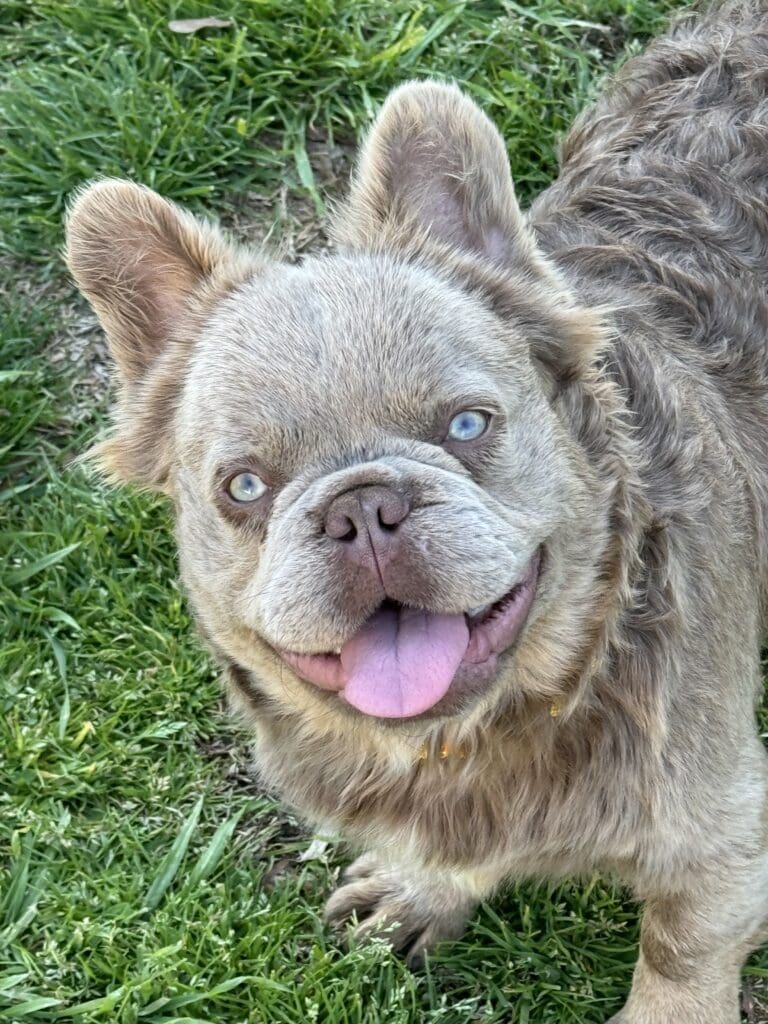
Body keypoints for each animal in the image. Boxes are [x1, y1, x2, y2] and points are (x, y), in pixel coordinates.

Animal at [64, 4, 768, 1019]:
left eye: (468, 424)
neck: (475, 738)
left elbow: (681, 952)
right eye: (243, 488)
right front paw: (422, 889)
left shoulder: (722, 834)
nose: (363, 507)